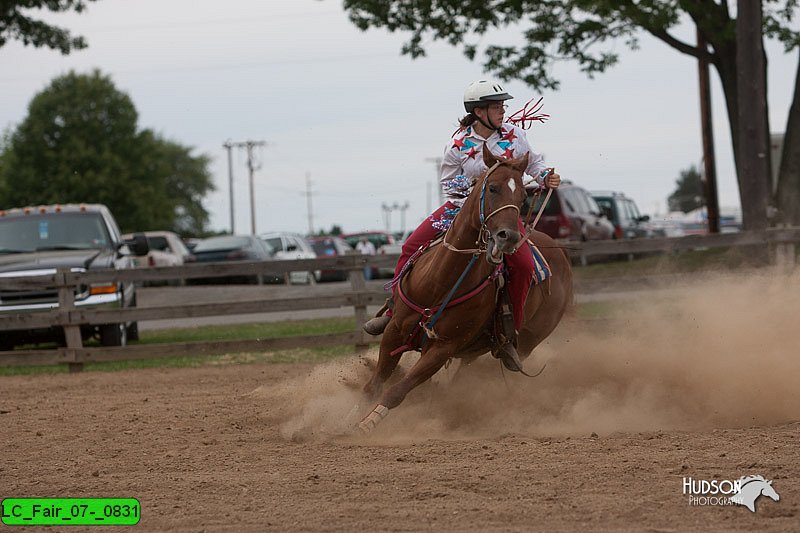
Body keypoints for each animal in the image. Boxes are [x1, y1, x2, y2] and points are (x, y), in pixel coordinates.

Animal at [360, 144, 572, 432]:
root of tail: (561, 254)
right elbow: (375, 383)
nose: (509, 237)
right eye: (492, 188)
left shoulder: (444, 347)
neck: (439, 283)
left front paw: (365, 423)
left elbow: (397, 391)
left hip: (527, 340)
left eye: (522, 197)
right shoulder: (396, 329)